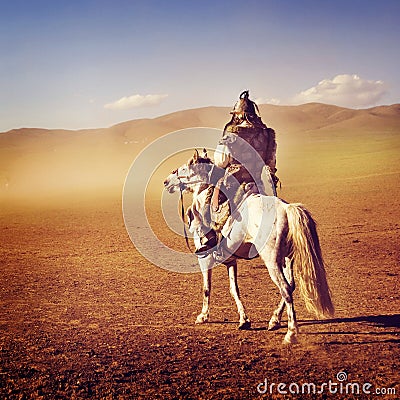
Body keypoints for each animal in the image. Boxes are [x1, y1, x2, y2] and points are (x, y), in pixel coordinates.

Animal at [162, 150, 334, 344]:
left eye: (185, 167)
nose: (166, 182)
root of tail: (286, 208)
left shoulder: (204, 259)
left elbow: (207, 288)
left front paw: (203, 316)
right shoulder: (231, 261)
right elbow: (234, 289)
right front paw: (244, 320)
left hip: (272, 260)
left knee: (285, 289)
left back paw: (291, 333)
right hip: (288, 258)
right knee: (290, 285)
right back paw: (274, 320)